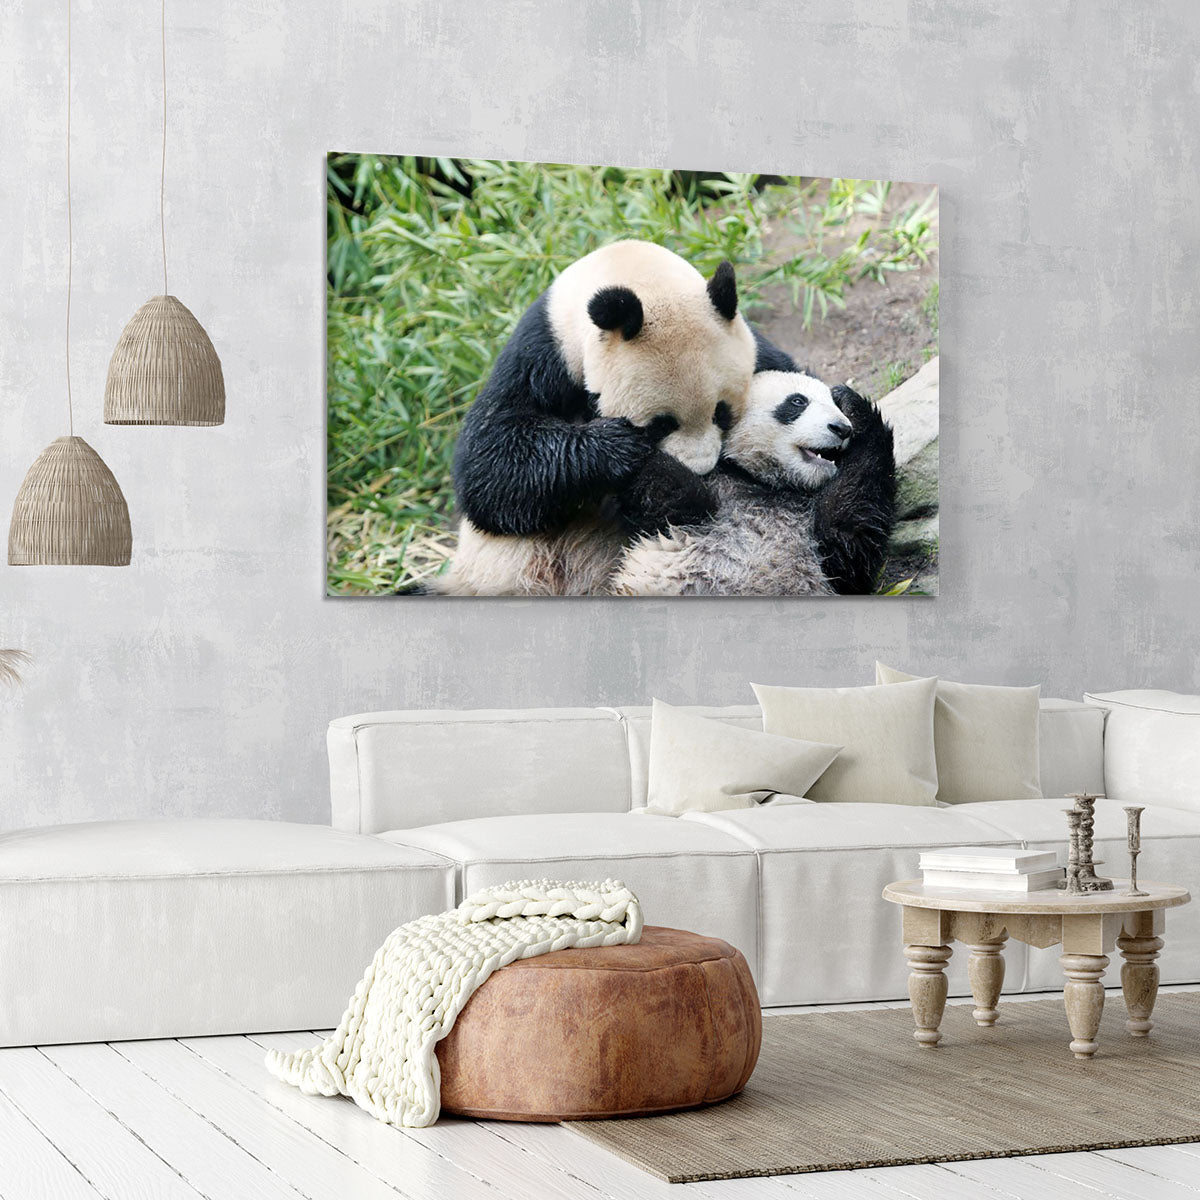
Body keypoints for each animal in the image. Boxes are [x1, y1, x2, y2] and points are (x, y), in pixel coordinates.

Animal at [427, 240, 758, 595]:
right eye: (661, 425)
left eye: (721, 412)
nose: (701, 470)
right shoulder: (542, 353)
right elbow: (489, 462)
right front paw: (619, 448)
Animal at [609, 367, 897, 596]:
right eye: (798, 401)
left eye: (834, 406)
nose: (841, 428)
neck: (770, 484)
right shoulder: (717, 492)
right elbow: (671, 492)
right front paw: (618, 444)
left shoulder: (822, 547)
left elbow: (850, 534)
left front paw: (854, 405)